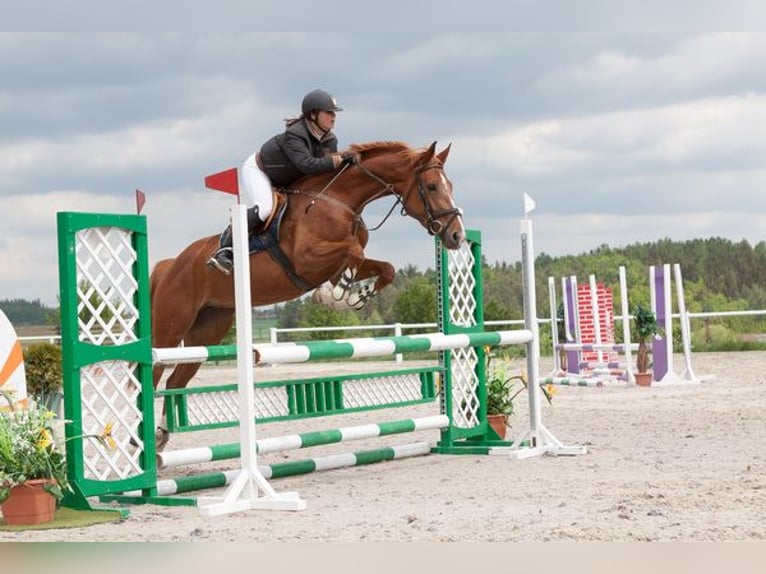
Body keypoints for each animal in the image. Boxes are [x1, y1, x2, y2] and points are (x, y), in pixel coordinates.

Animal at [149, 140, 465, 449]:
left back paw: (161, 436)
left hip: (209, 329)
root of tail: (169, 265)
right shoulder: (308, 259)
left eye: (450, 185)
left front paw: (354, 297)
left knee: (176, 380)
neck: (341, 201)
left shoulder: (333, 264)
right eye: (432, 186)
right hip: (171, 325)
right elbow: (354, 251)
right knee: (153, 373)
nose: (456, 236)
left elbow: (385, 268)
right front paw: (335, 293)